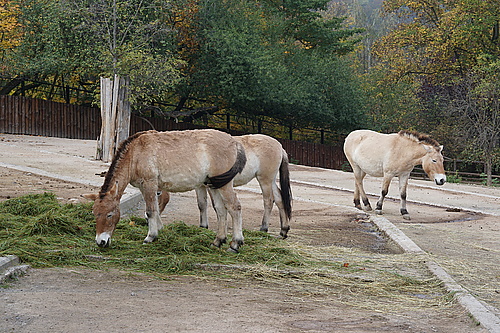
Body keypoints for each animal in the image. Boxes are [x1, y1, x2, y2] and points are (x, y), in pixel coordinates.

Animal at [84, 130, 248, 252]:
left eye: (110, 214)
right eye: (94, 214)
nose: (101, 242)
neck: (135, 153)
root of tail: (234, 142)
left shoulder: (149, 184)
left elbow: (150, 211)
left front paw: (150, 237)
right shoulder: (145, 187)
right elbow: (155, 209)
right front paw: (159, 230)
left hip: (224, 185)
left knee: (234, 207)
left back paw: (235, 244)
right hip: (214, 185)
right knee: (221, 210)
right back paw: (218, 241)